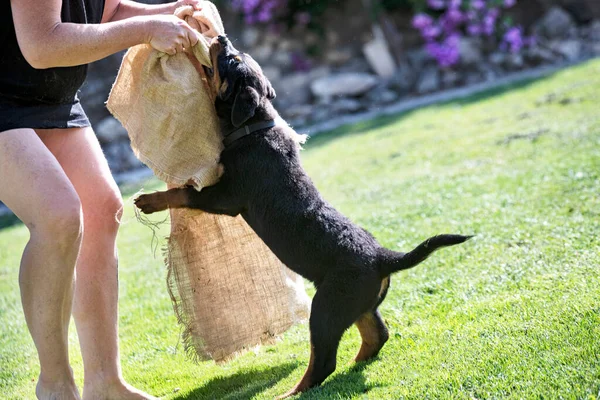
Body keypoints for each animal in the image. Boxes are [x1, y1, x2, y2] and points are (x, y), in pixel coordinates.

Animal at [135, 36, 468, 398]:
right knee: (376, 333)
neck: (252, 127)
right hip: (357, 303)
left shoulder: (226, 197)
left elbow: (184, 193)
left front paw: (148, 200)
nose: (221, 38)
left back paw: (293, 391)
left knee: (323, 362)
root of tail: (383, 258)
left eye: (231, 60)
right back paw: (356, 363)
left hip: (326, 308)